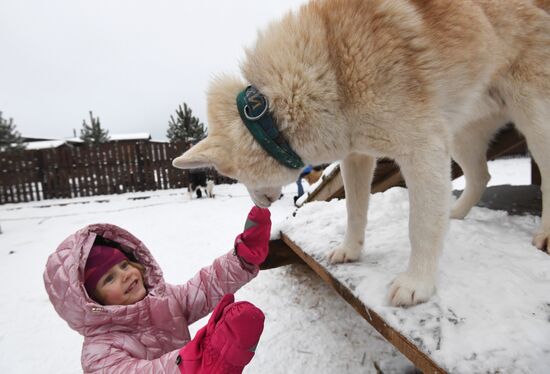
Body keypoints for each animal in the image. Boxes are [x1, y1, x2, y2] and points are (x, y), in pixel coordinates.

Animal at [174, 0, 550, 306]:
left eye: (233, 176)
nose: (261, 205)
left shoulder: (423, 149)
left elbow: (421, 226)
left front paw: (418, 284)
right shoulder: (356, 156)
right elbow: (354, 209)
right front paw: (351, 250)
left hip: (532, 116)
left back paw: (544, 234)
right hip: (461, 133)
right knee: (481, 175)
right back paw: (454, 213)